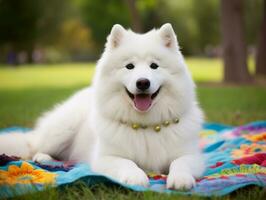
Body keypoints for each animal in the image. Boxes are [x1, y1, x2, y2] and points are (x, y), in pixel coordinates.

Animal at [0, 23, 206, 189]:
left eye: (154, 66)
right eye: (129, 66)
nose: (142, 83)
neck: (146, 124)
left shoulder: (191, 155)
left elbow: (180, 163)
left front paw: (180, 179)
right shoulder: (106, 158)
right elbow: (128, 163)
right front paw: (136, 177)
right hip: (61, 131)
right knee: (33, 147)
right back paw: (44, 158)